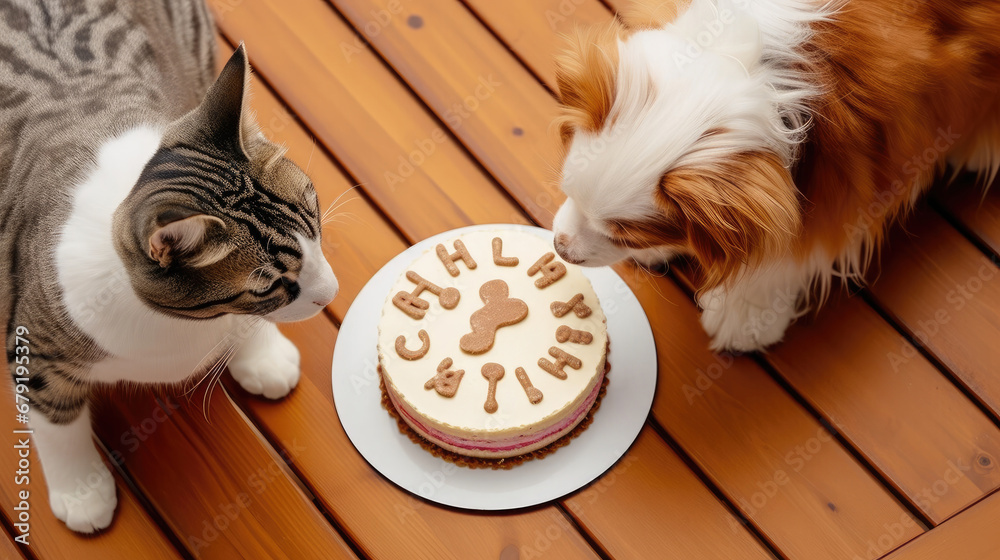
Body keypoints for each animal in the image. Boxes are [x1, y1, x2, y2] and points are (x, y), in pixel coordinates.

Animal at [0, 1, 340, 532]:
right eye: (269, 286)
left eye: (316, 216)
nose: (333, 292)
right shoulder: (34, 347)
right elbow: (56, 421)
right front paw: (81, 491)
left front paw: (261, 354)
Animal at [556, 0, 1000, 350]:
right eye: (569, 192)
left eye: (625, 237)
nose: (560, 248)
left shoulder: (857, 177)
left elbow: (787, 254)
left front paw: (747, 314)